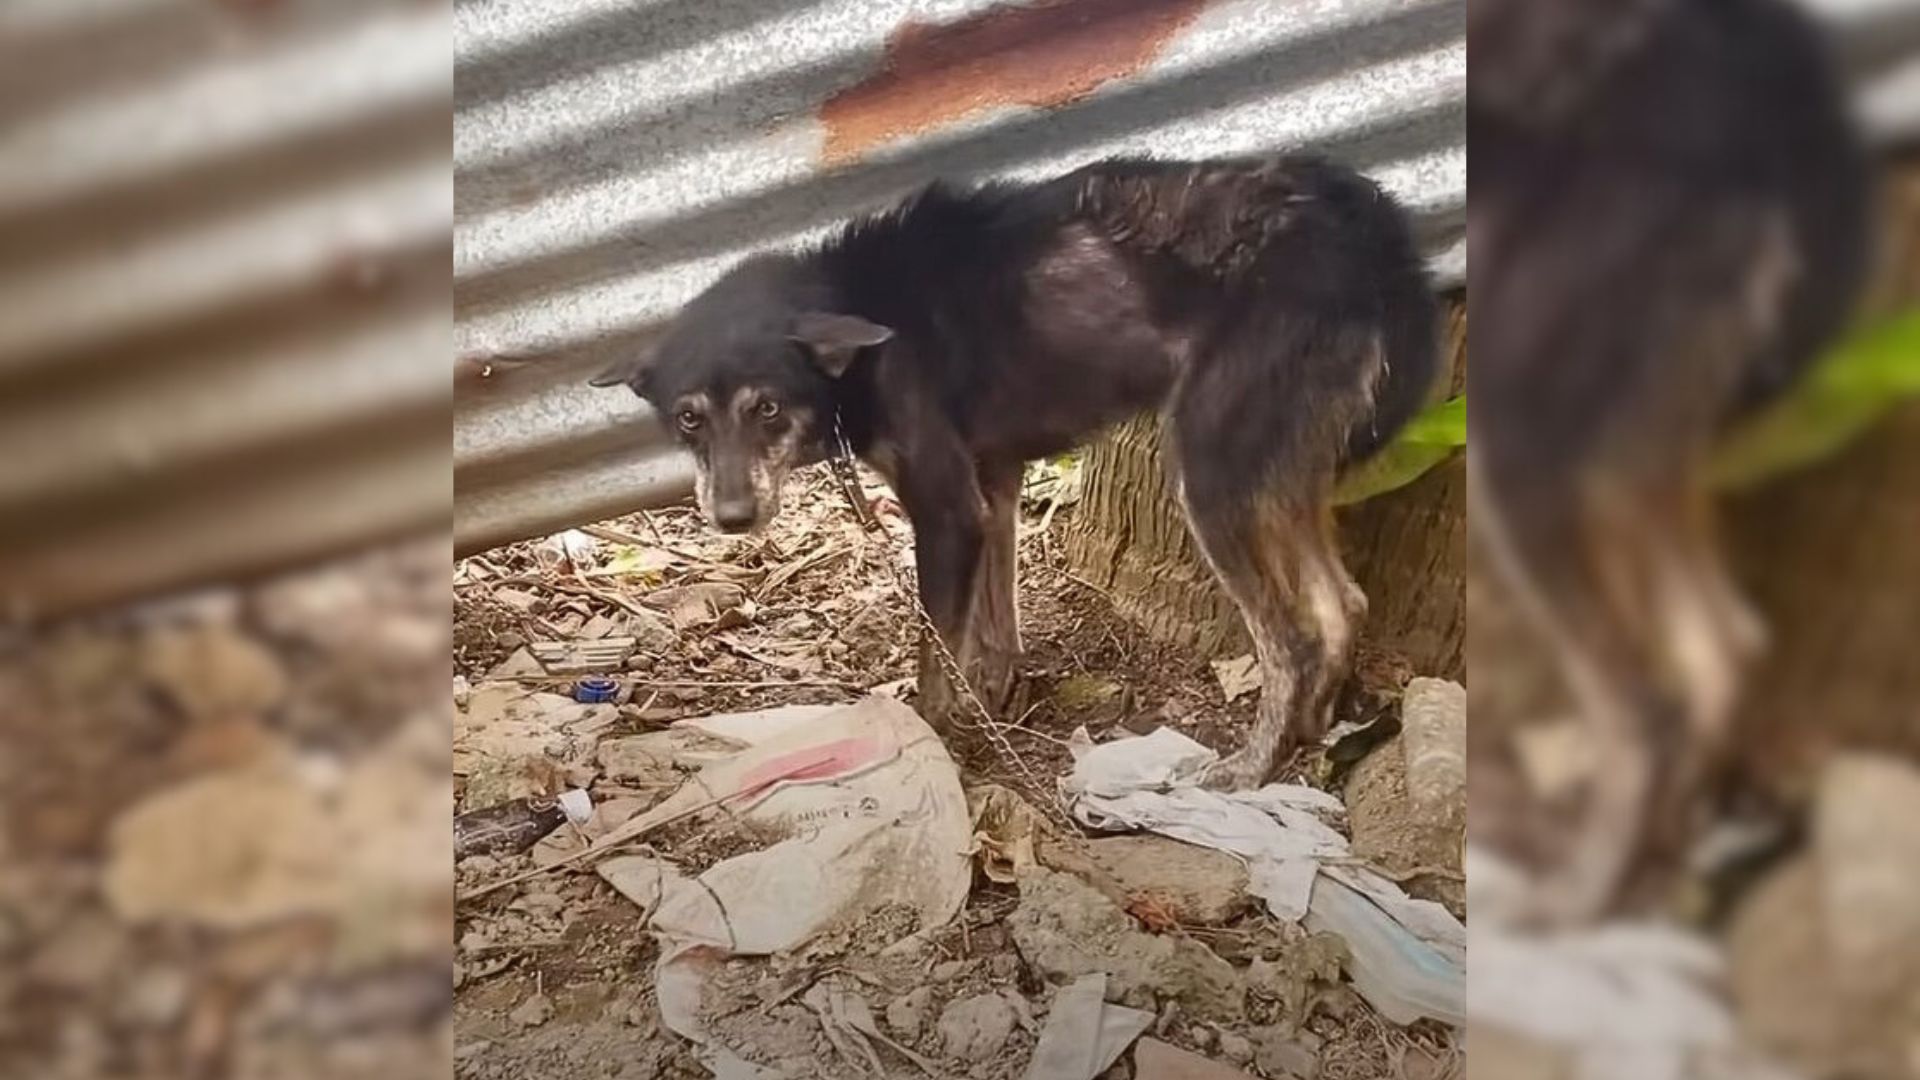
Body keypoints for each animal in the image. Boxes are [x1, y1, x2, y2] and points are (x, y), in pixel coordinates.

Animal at [591, 155, 1436, 787]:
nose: (732, 518)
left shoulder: (947, 509)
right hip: (1275, 471)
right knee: (1341, 604)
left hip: (1213, 472)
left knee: (1289, 635)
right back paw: (1316, 732)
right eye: (689, 419)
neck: (860, 322)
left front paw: (934, 735)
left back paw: (1250, 768)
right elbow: (993, 635)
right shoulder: (992, 486)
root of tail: (1367, 227)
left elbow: (937, 651)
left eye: (766, 408)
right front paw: (995, 706)